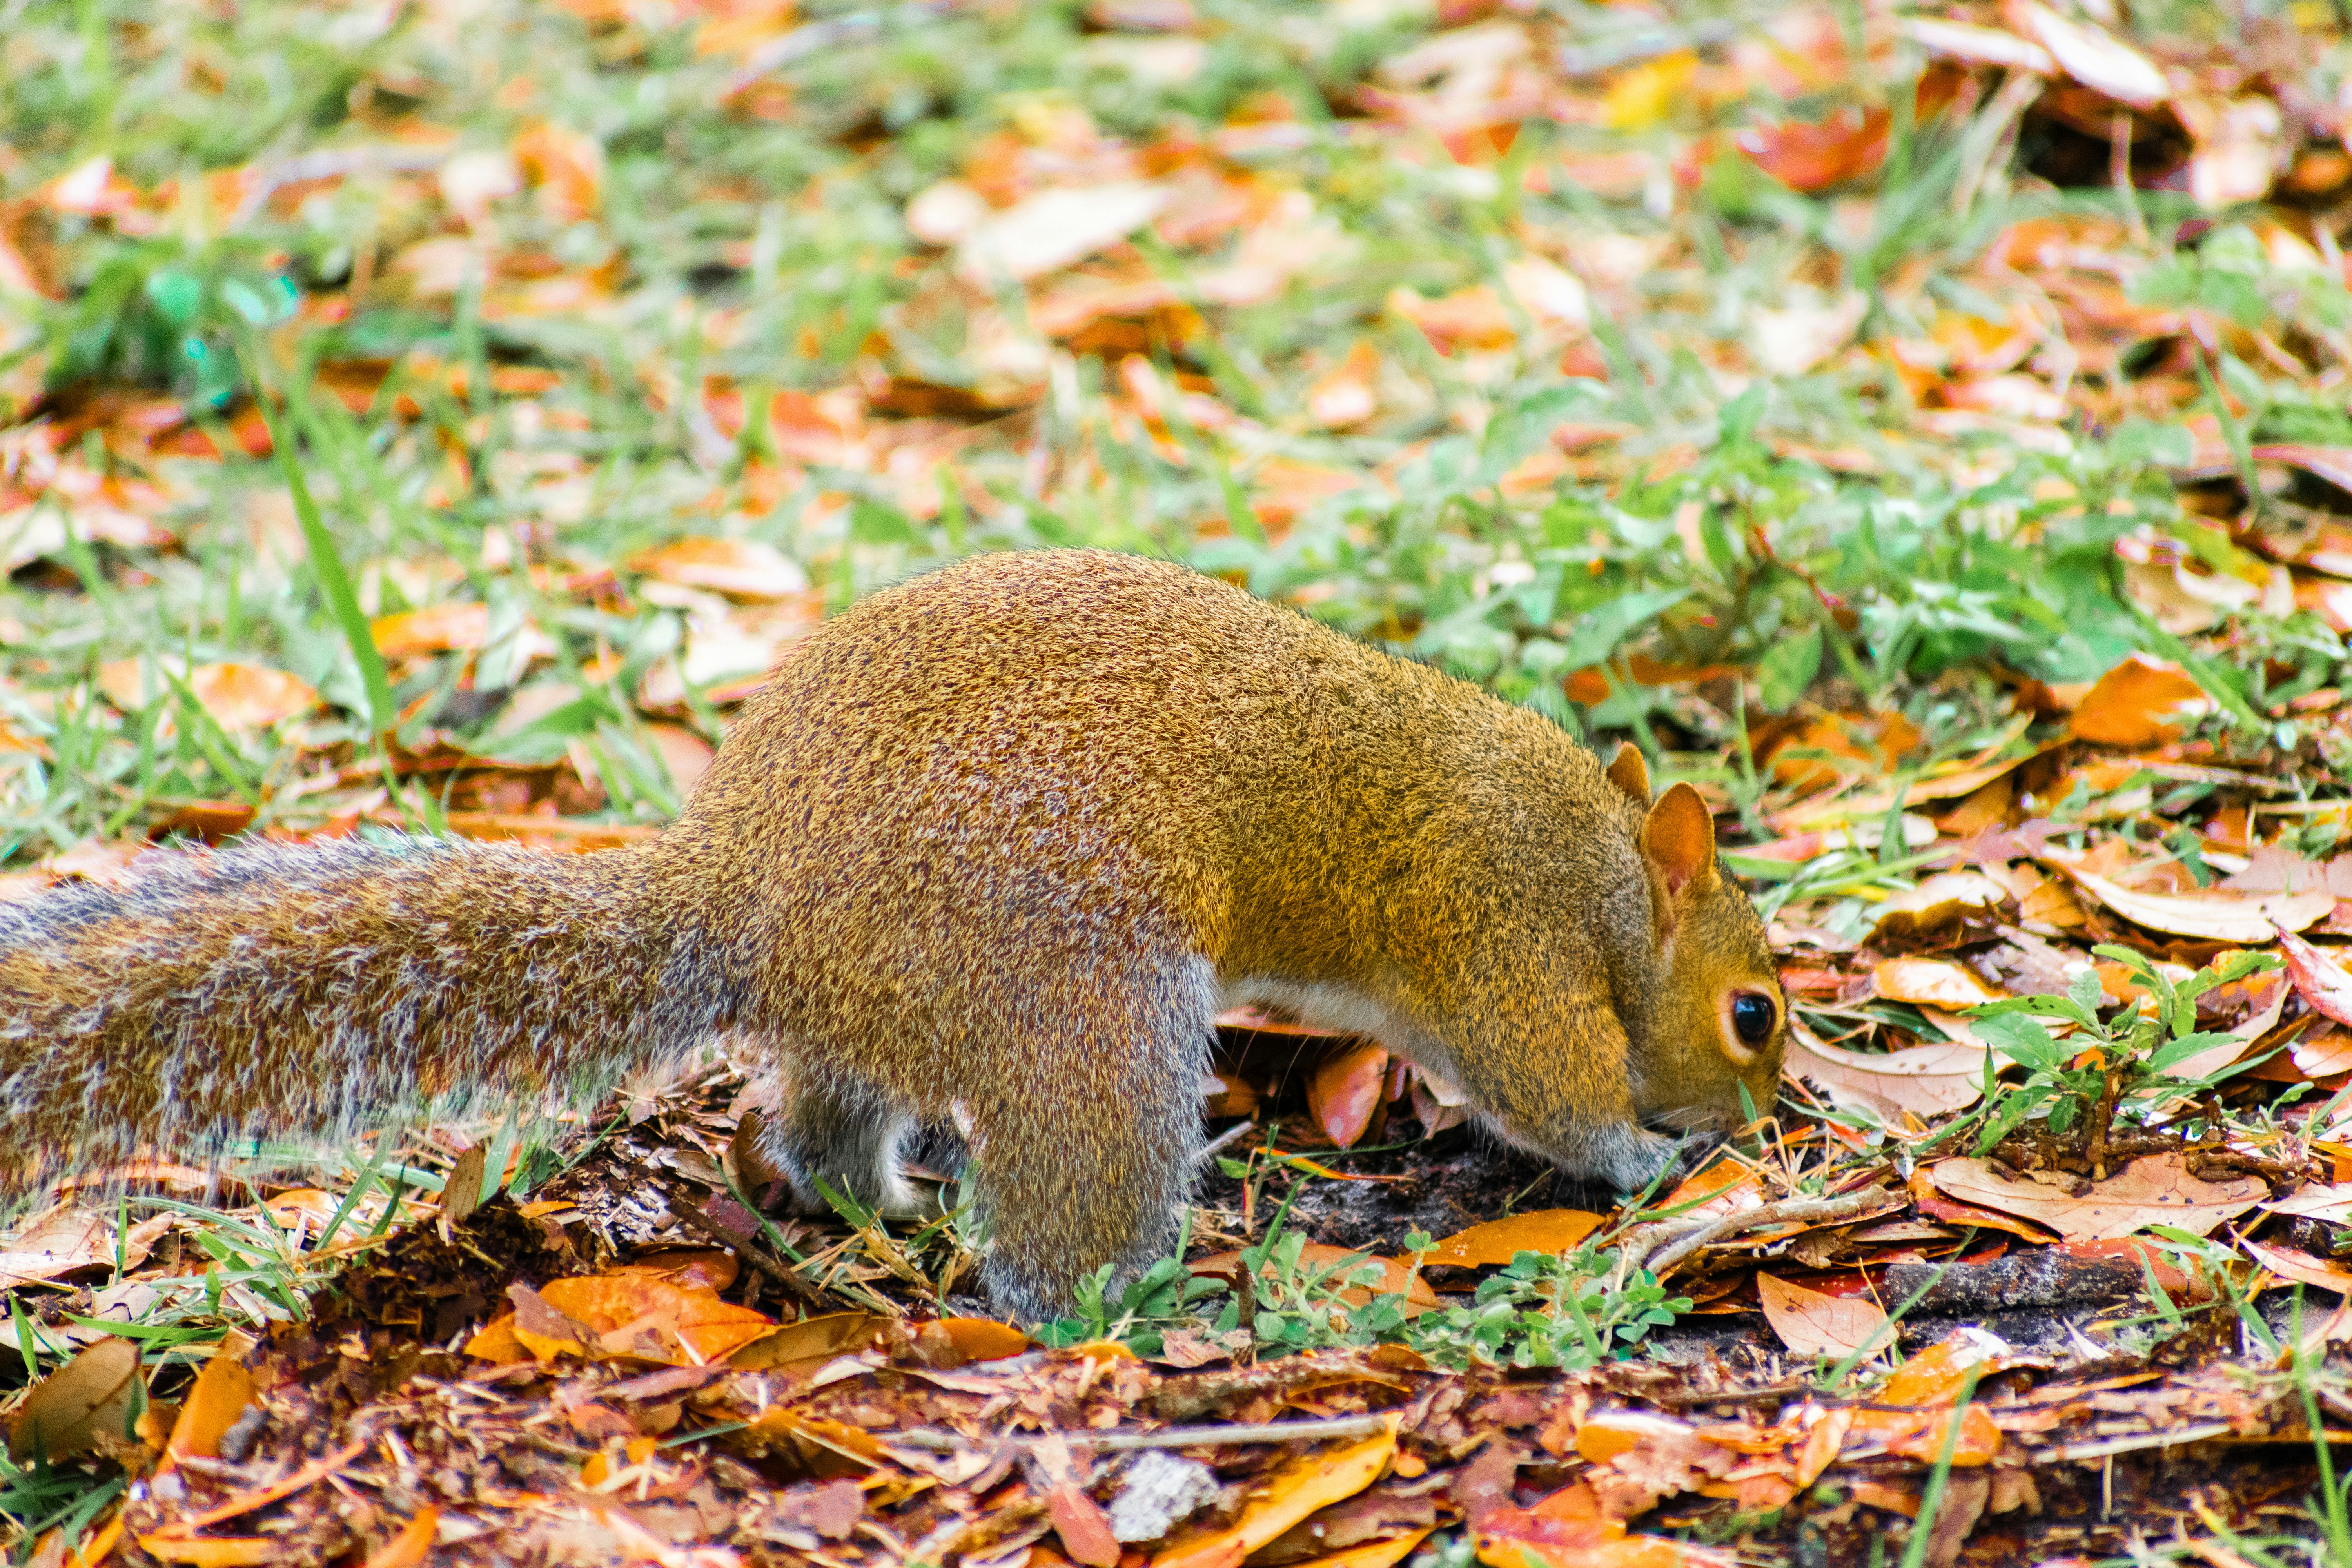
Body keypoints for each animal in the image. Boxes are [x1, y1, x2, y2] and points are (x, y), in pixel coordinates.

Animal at [0, 549, 1784, 1319]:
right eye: (1756, 1012)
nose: (1770, 1113)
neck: (1604, 875)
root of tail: (742, 892)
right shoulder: (1500, 929)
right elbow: (1549, 1083)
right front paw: (1651, 1156)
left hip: (900, 1003)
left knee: (813, 1121)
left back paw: (870, 1196)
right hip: (1079, 989)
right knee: (1062, 1214)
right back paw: (1130, 1292)